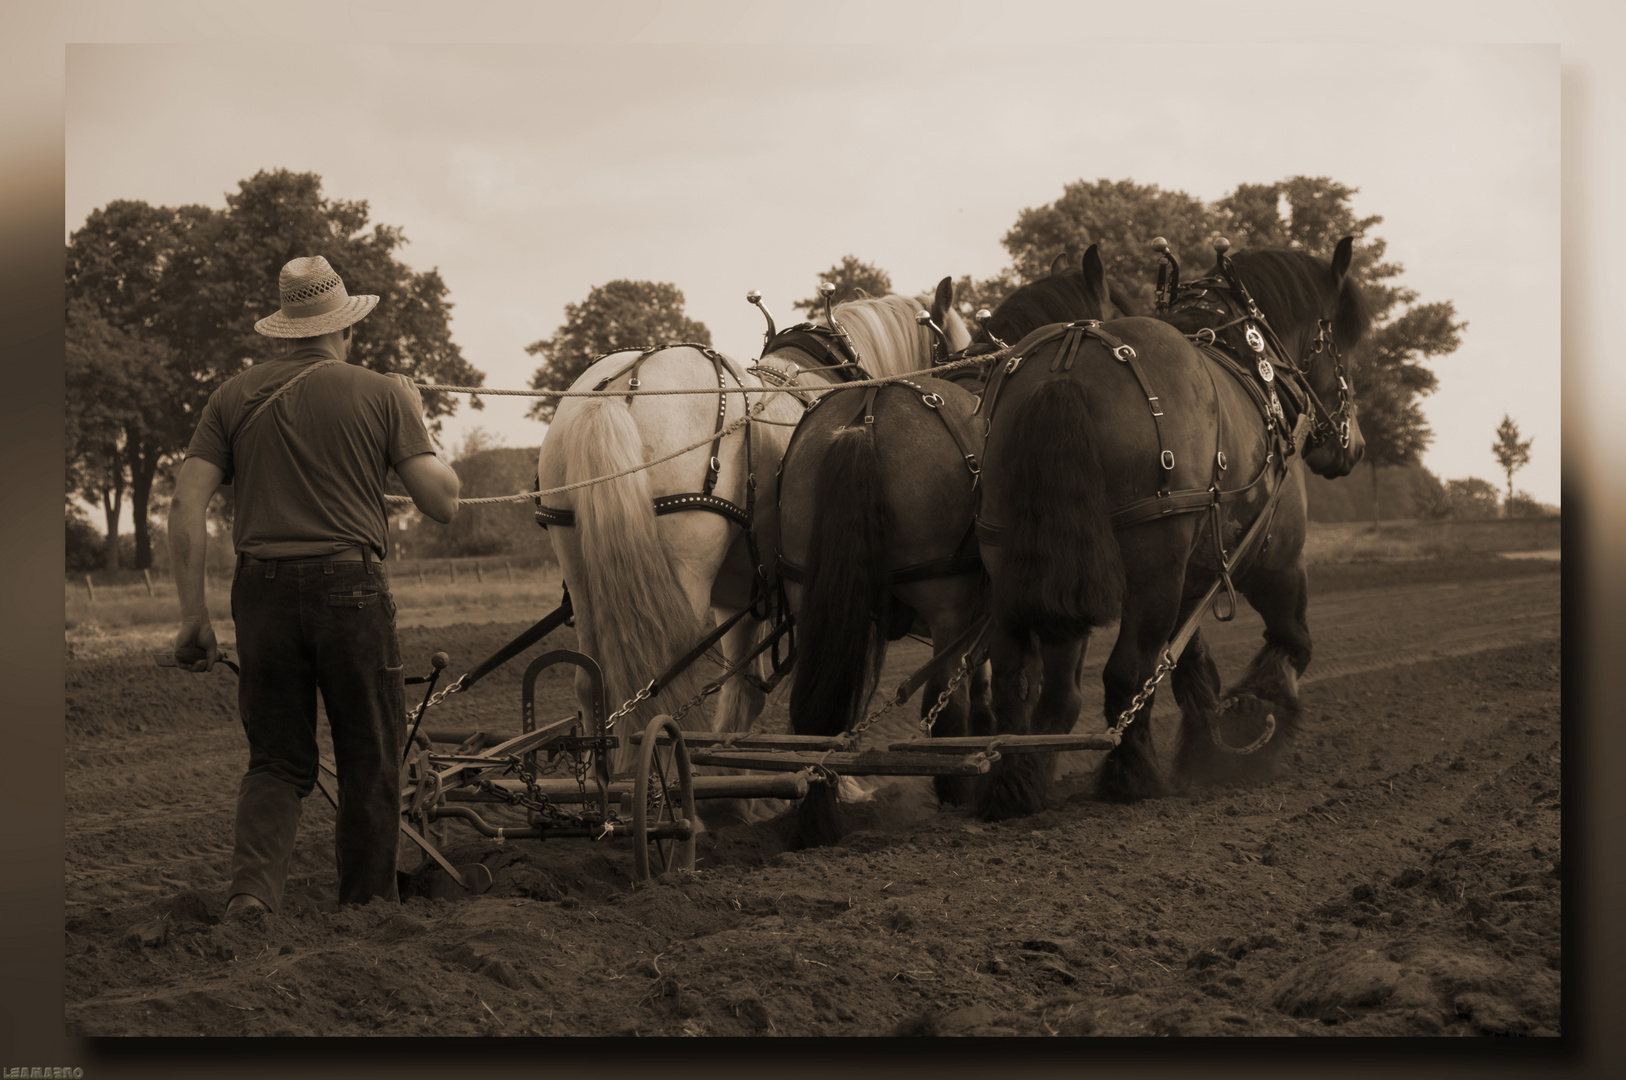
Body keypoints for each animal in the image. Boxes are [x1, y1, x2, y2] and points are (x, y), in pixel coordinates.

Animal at [533, 279, 962, 783]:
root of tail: (618, 393)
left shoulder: (740, 598)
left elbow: (743, 696)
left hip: (578, 562)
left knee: (592, 682)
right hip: (683, 571)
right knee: (661, 695)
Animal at [780, 243, 1138, 845]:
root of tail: (864, 421)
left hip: (812, 598)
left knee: (816, 715)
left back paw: (817, 819)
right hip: (944, 602)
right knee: (944, 715)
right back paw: (957, 794)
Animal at [969, 235, 1378, 819]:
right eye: (1343, 349)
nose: (1354, 446)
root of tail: (1066, 365)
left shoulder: (1195, 575)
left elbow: (1190, 665)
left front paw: (1207, 746)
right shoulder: (1274, 563)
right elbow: (1292, 643)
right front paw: (1252, 723)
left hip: (1016, 561)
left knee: (1023, 680)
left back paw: (1018, 781)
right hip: (1153, 566)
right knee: (1126, 671)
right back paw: (1133, 777)